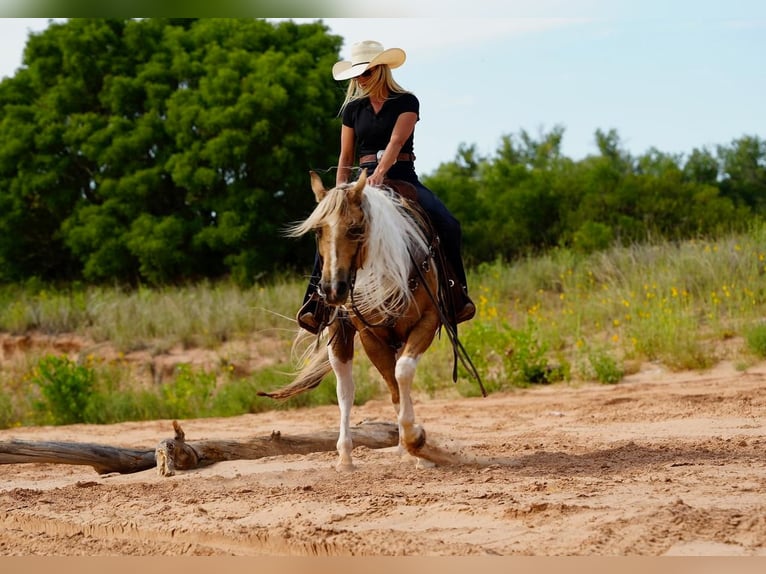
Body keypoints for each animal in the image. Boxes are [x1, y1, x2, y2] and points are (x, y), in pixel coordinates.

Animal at [260, 169, 460, 470]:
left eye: (355, 229)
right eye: (318, 230)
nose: (332, 289)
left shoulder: (427, 320)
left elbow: (403, 374)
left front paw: (415, 445)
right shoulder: (371, 336)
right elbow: (393, 387)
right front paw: (414, 441)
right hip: (340, 338)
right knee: (346, 390)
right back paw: (345, 456)